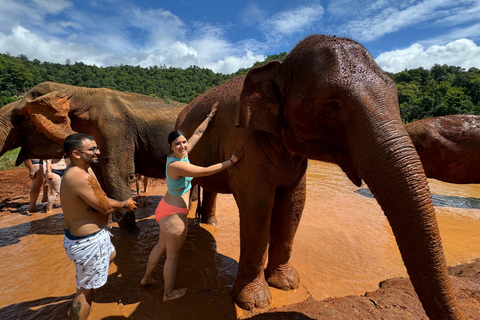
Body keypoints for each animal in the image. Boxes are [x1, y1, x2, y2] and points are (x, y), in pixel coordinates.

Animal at [0, 82, 185, 232]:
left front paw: (131, 234)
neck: (78, 92)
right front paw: (110, 224)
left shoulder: (114, 129)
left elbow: (118, 175)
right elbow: (102, 179)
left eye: (20, 117)